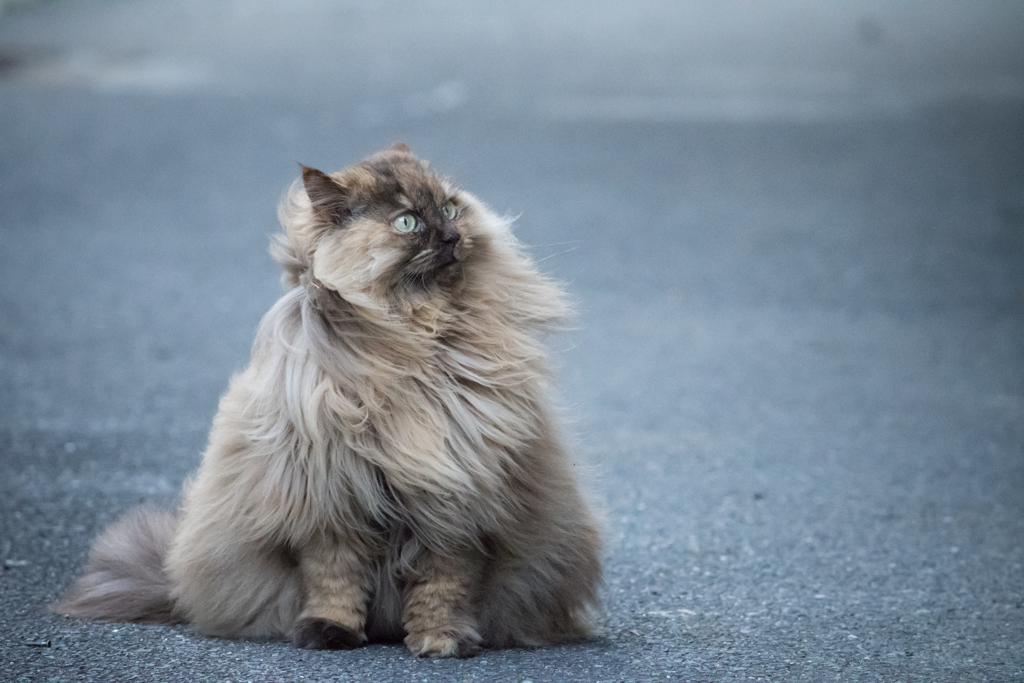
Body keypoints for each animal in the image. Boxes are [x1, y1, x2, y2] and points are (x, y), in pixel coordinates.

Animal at [54, 143, 598, 655]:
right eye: (407, 221)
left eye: (450, 208)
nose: (449, 236)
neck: (413, 342)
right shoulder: (330, 499)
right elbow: (334, 579)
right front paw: (329, 632)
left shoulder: (455, 503)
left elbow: (443, 585)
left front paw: (440, 640)